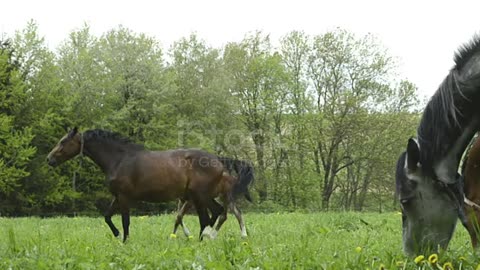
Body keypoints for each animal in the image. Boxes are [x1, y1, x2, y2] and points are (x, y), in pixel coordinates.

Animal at [47, 127, 246, 242]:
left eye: (63, 141)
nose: (49, 159)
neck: (119, 159)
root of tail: (218, 160)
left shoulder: (125, 197)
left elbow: (125, 221)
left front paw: (125, 241)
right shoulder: (117, 196)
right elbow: (107, 217)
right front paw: (118, 235)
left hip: (199, 196)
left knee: (208, 217)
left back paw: (202, 239)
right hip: (201, 197)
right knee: (217, 213)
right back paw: (205, 236)